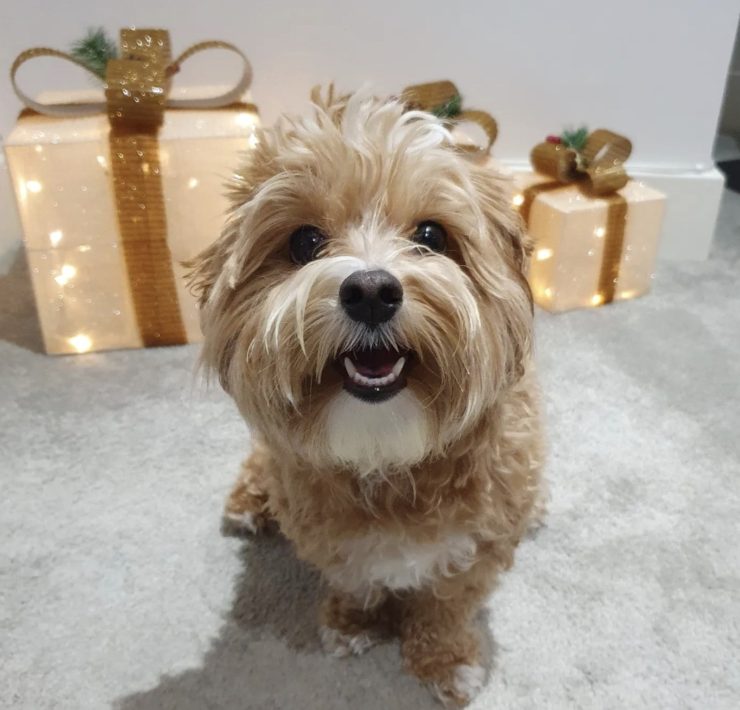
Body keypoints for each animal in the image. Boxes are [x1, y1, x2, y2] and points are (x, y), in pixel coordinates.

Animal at [187, 87, 545, 707]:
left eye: (431, 236)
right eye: (304, 241)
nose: (372, 291)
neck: (387, 453)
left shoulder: (475, 548)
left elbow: (445, 608)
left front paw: (445, 661)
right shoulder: (331, 538)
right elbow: (357, 582)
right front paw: (353, 622)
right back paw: (247, 505)